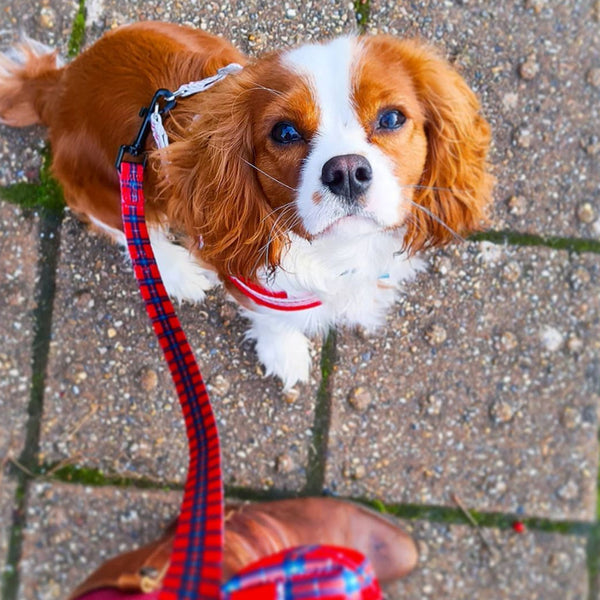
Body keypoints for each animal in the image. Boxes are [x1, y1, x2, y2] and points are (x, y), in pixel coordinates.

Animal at [0, 21, 492, 386]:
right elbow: (273, 319)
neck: (336, 251)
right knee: (124, 226)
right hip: (103, 183)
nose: (347, 170)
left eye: (391, 118)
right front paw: (285, 353)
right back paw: (175, 271)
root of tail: (58, 87)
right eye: (285, 132)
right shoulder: (244, 273)